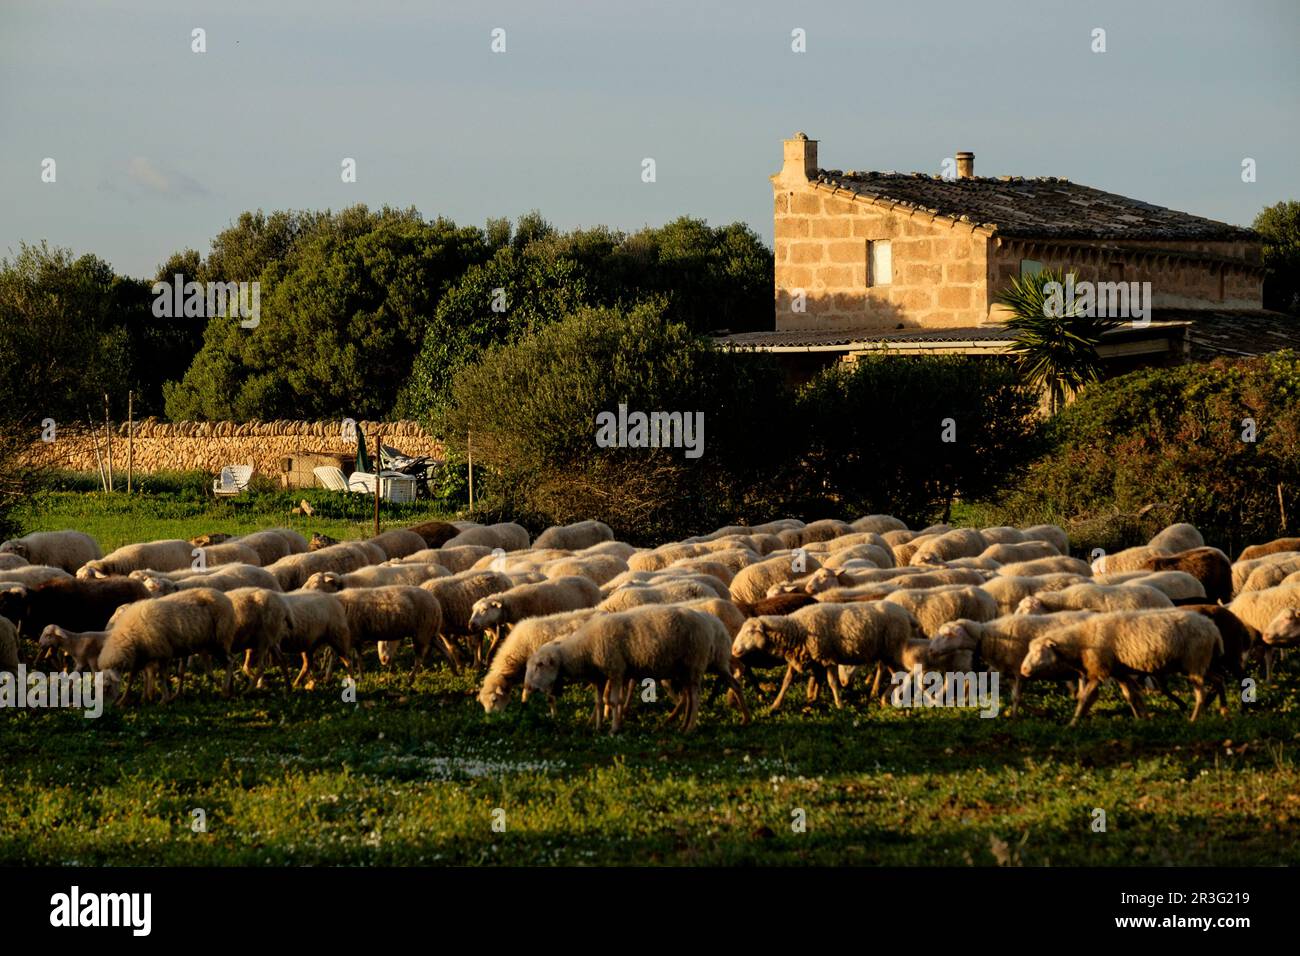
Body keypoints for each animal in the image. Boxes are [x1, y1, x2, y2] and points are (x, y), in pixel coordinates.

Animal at [98, 582, 239, 702]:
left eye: (108, 686)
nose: (108, 707)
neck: (129, 635)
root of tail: (225, 597)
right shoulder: (140, 657)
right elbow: (131, 678)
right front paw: (124, 700)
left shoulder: (163, 652)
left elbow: (161, 676)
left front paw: (164, 699)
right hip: (210, 643)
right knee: (224, 663)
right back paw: (230, 689)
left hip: (220, 639)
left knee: (229, 662)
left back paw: (225, 691)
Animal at [517, 606, 743, 733]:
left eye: (539, 665)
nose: (527, 687)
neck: (584, 649)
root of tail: (712, 623)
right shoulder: (601, 676)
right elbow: (600, 701)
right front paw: (599, 726)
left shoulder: (616, 670)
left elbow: (614, 701)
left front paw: (614, 728)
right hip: (690, 669)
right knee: (697, 694)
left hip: (694, 665)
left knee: (695, 698)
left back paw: (689, 728)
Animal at [1019, 613, 1222, 723]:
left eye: (1040, 651)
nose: (1024, 670)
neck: (1081, 640)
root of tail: (1212, 628)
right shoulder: (1118, 671)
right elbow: (1131, 696)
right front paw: (1142, 718)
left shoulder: (1099, 671)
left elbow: (1086, 699)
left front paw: (1073, 723)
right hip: (1200, 664)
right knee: (1219, 680)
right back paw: (1224, 710)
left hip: (1194, 661)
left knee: (1201, 693)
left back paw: (1194, 718)